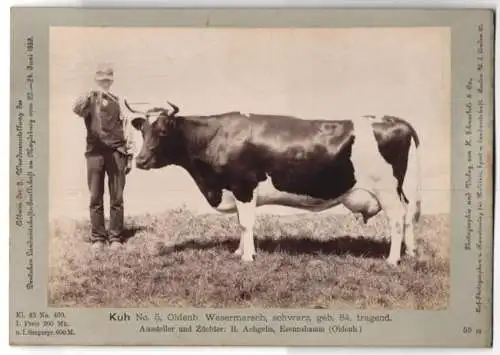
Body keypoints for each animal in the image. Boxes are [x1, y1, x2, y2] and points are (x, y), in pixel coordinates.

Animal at [126, 101, 422, 266]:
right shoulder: (237, 190)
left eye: (163, 131)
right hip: (398, 190)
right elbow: (240, 223)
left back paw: (393, 260)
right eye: (143, 130)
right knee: (408, 215)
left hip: (386, 190)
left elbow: (246, 223)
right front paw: (239, 251)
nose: (140, 160)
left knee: (397, 219)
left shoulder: (243, 186)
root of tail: (394, 120)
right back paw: (411, 253)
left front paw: (248, 257)